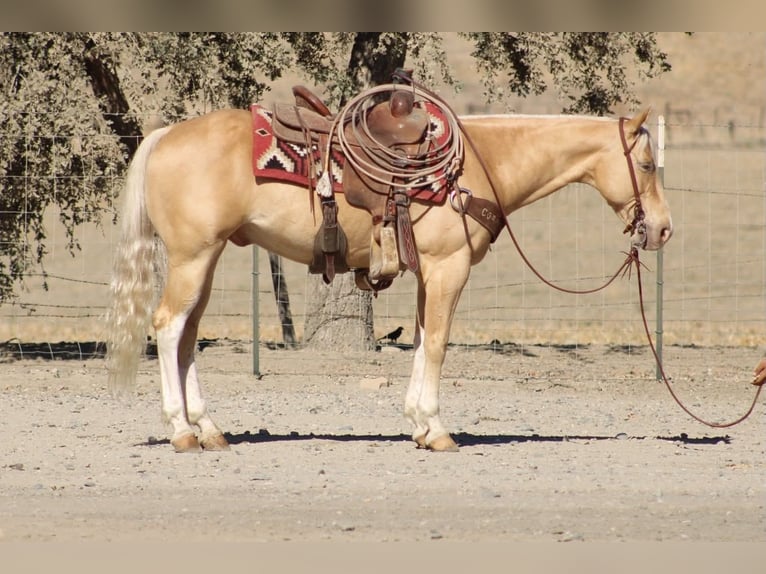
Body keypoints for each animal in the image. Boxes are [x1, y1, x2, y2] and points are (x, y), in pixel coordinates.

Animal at [106, 99, 673, 453]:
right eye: (647, 165)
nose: (663, 228)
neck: (477, 166)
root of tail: (164, 135)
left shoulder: (429, 274)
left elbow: (421, 340)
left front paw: (418, 424)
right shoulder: (448, 268)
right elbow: (438, 343)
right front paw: (438, 429)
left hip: (203, 259)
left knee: (186, 336)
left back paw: (209, 428)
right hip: (193, 257)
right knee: (168, 327)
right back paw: (182, 432)